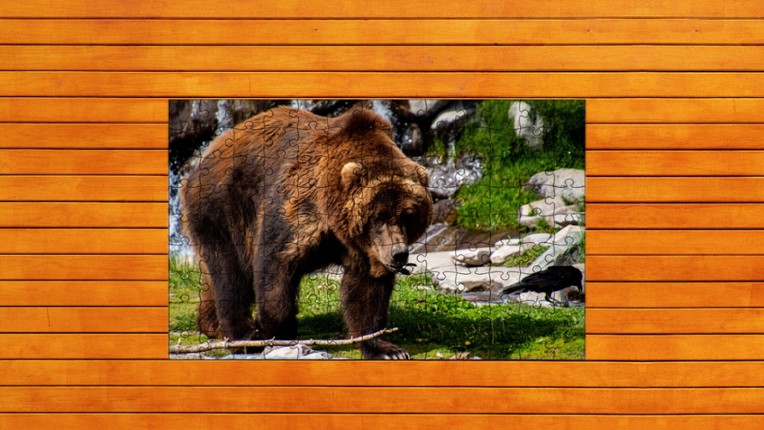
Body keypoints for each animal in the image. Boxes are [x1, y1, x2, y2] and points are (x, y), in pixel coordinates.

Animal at [181, 106, 432, 359]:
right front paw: (276, 331)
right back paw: (243, 334)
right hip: (223, 206)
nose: (398, 253)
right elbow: (276, 266)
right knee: (230, 270)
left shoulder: (365, 248)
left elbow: (367, 291)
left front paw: (385, 348)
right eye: (378, 216)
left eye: (408, 214)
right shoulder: (299, 209)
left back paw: (211, 324)